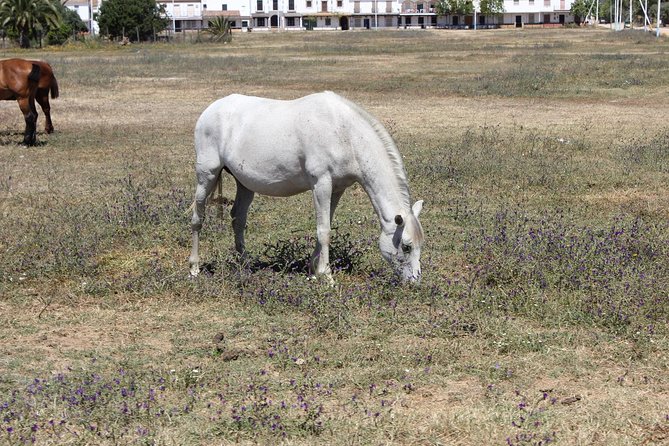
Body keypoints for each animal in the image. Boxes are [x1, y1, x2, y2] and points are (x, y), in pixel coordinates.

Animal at [189, 91, 422, 282]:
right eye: (406, 246)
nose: (414, 282)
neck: (343, 132)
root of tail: (210, 110)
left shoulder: (337, 188)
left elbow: (326, 224)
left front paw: (314, 270)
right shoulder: (321, 184)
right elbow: (324, 230)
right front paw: (327, 277)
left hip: (244, 184)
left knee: (238, 219)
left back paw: (245, 264)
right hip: (207, 175)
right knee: (198, 218)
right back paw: (194, 268)